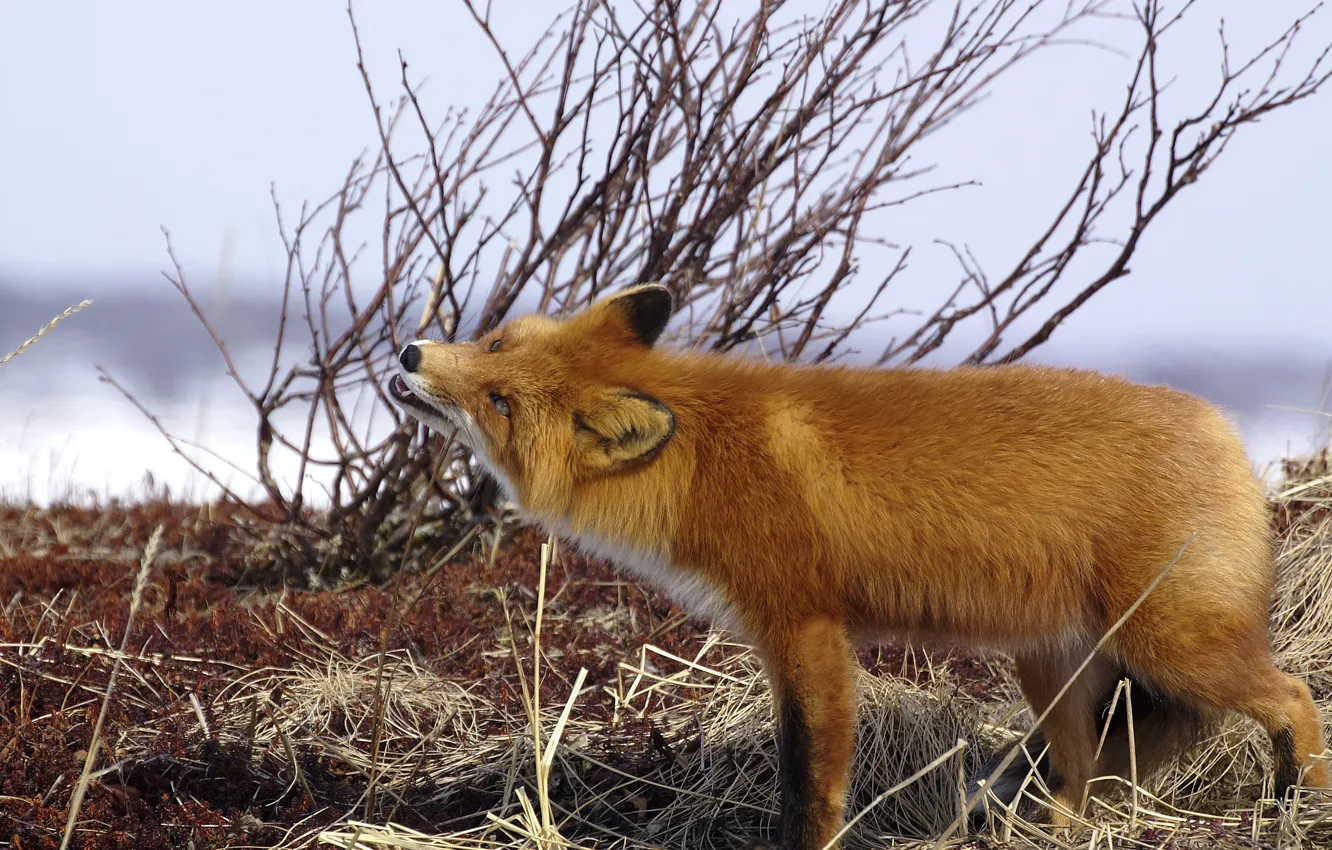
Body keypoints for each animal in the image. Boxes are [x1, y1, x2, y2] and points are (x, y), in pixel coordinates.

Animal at [386, 287, 1321, 850]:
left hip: (1172, 646)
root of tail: (1226, 433)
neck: (705, 456)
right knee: (1082, 773)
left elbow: (809, 779)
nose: (408, 356)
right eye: (493, 341)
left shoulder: (804, 627)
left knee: (1295, 697)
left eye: (500, 402)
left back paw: (1299, 803)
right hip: (1054, 667)